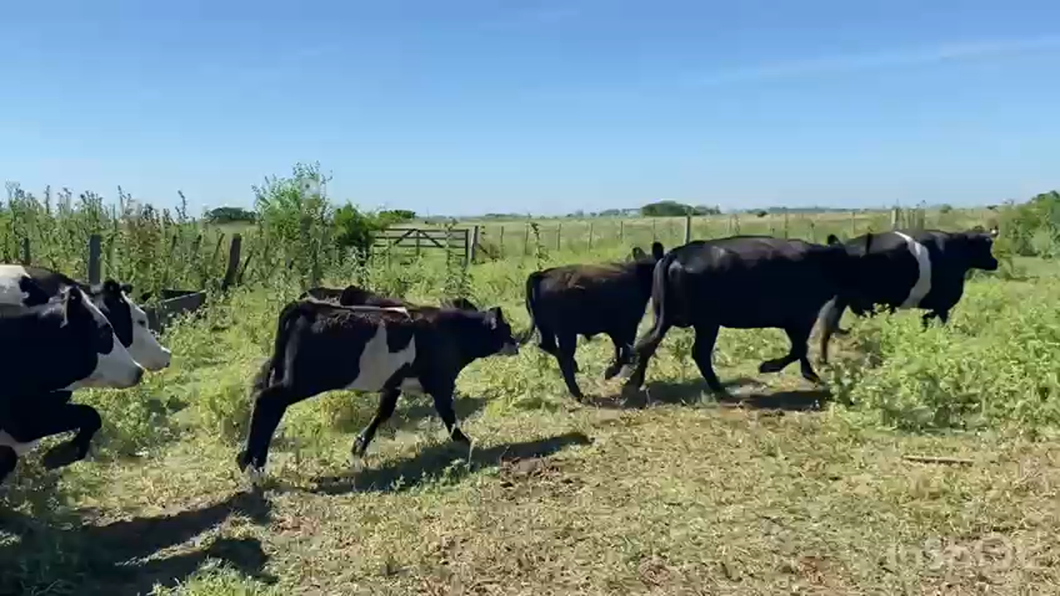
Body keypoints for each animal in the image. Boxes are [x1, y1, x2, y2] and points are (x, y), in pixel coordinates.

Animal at [239, 296, 521, 477]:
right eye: (505, 328)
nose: (516, 344)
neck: (452, 331)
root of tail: (307, 306)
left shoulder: (393, 385)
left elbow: (382, 413)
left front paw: (358, 447)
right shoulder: (442, 383)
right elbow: (449, 417)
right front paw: (466, 442)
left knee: (270, 408)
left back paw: (253, 462)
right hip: (301, 381)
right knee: (266, 401)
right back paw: (252, 465)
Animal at [519, 241, 661, 398]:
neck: (638, 274)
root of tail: (543, 274)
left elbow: (620, 349)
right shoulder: (627, 325)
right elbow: (625, 350)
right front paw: (611, 371)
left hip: (547, 329)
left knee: (548, 346)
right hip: (566, 333)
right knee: (564, 356)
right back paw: (577, 390)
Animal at [619, 234, 873, 396]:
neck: (826, 261)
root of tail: (676, 254)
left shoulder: (796, 321)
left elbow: (799, 349)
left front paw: (809, 374)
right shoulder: (802, 317)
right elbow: (799, 348)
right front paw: (770, 367)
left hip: (670, 320)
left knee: (648, 345)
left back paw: (633, 382)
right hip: (706, 323)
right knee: (693, 352)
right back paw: (719, 388)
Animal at [818, 224, 1000, 362]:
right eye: (986, 245)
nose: (995, 262)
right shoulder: (944, 304)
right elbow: (936, 319)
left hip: (840, 299)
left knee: (828, 325)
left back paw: (824, 361)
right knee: (833, 324)